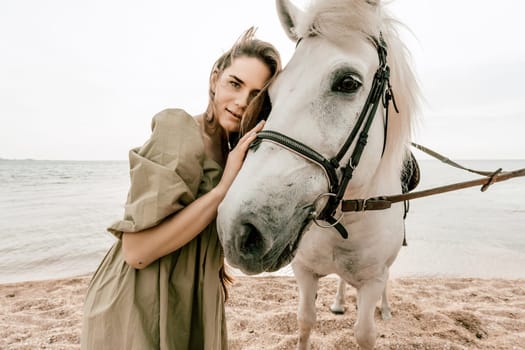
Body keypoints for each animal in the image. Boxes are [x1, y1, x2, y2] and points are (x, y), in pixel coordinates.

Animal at [216, 1, 418, 348]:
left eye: (348, 82)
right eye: (273, 92)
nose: (239, 230)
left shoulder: (372, 281)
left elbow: (365, 333)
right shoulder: (305, 272)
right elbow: (305, 321)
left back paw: (386, 308)